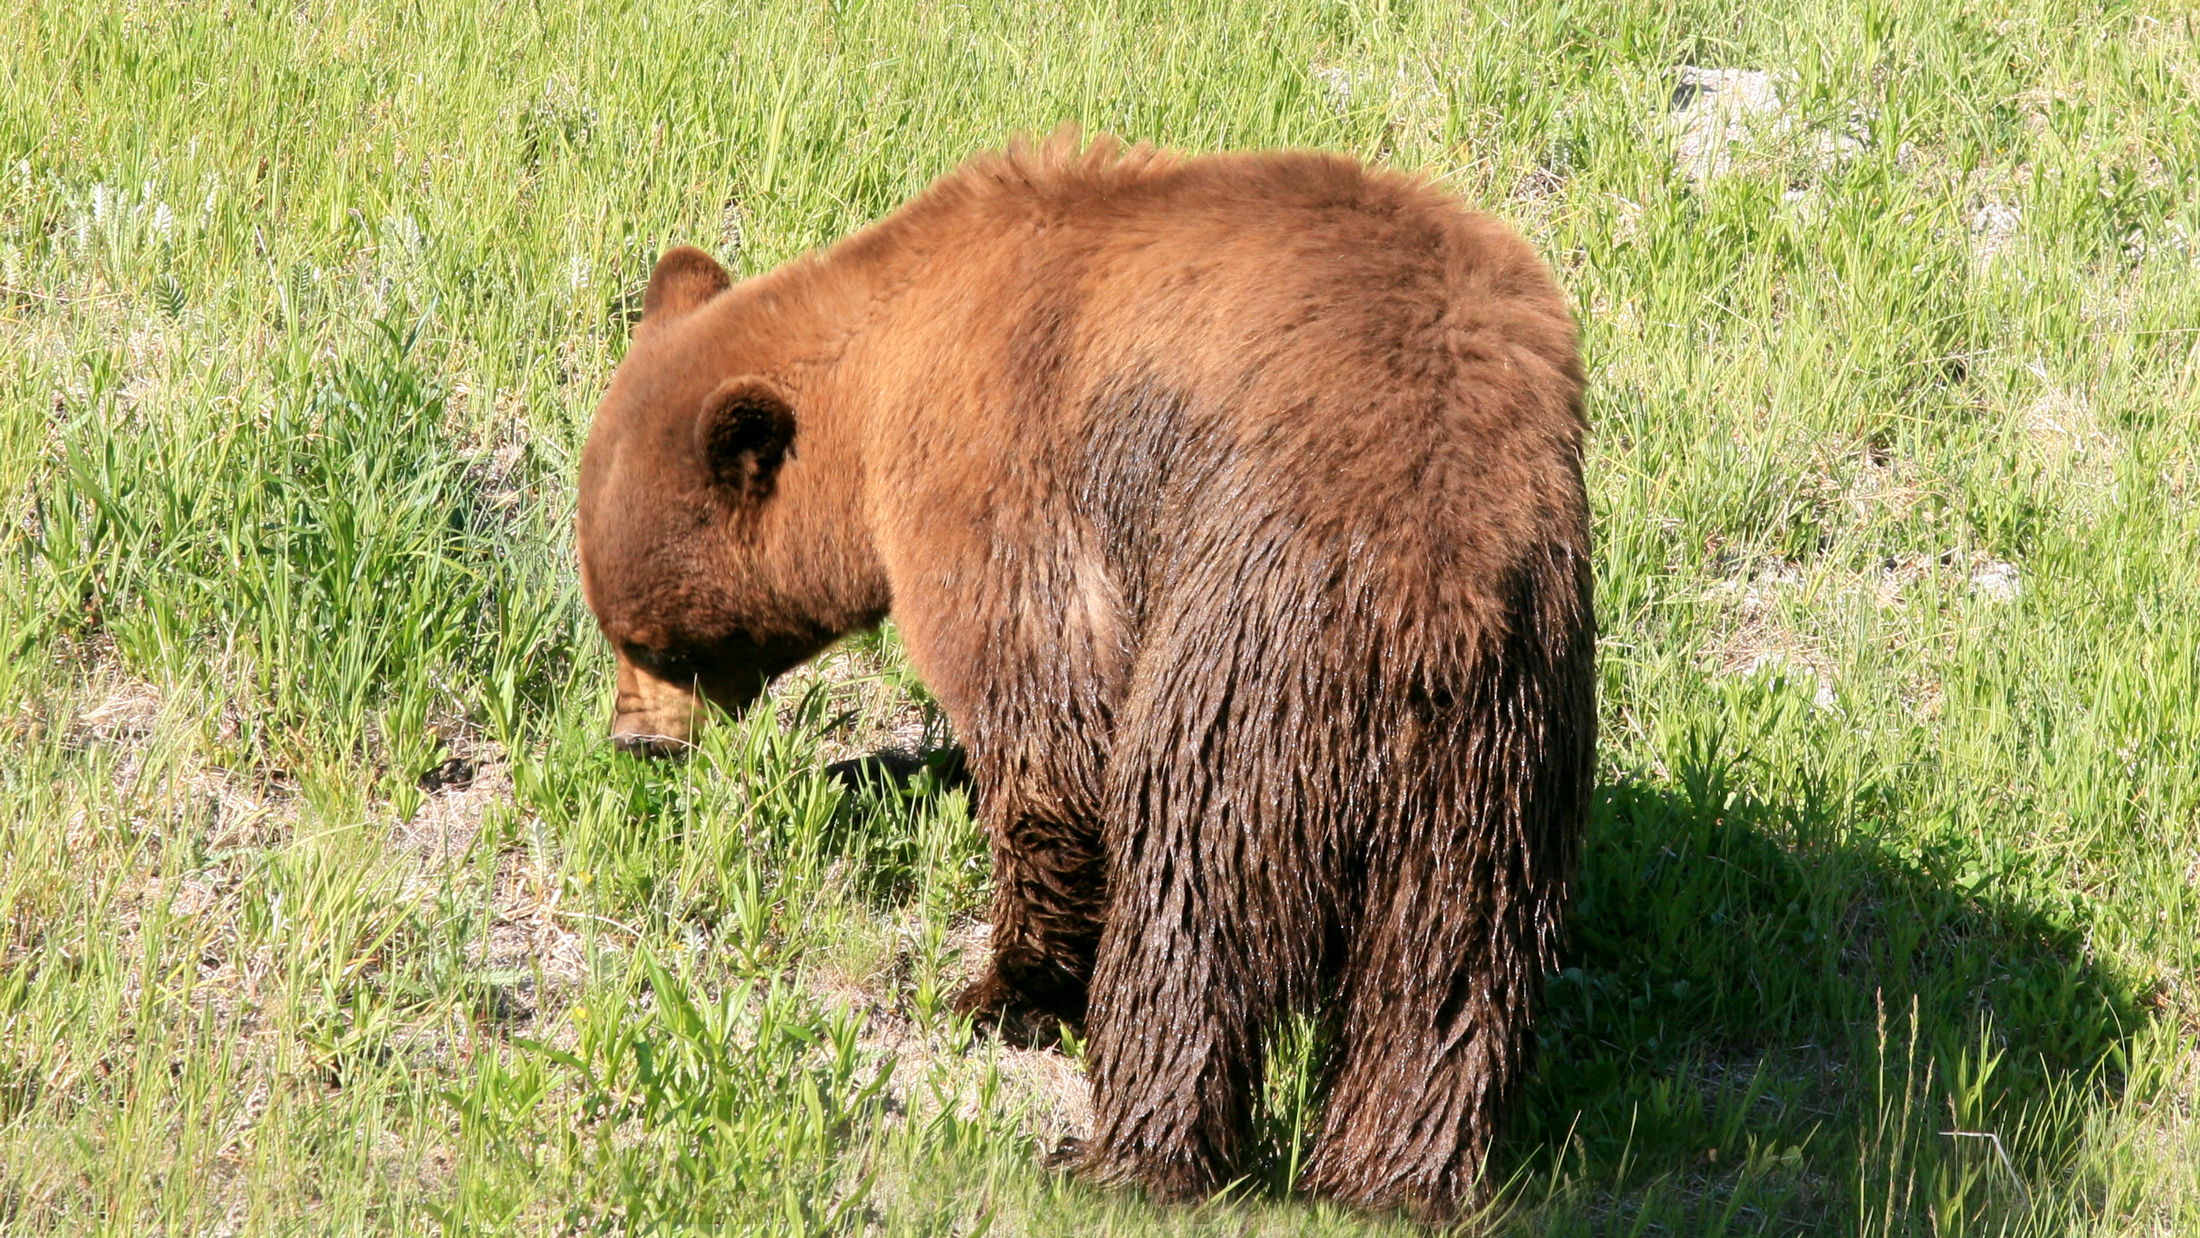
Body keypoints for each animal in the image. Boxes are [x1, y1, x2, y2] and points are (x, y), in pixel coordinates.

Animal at [576, 128, 1592, 1222]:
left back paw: (1122, 1152)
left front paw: (1007, 988)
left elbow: (1046, 727)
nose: (636, 740)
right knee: (1448, 973)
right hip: (1503, 747)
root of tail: (1436, 592)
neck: (882, 367)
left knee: (1188, 892)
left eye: (654, 642)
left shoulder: (996, 464)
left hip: (1250, 649)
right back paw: (1391, 1181)